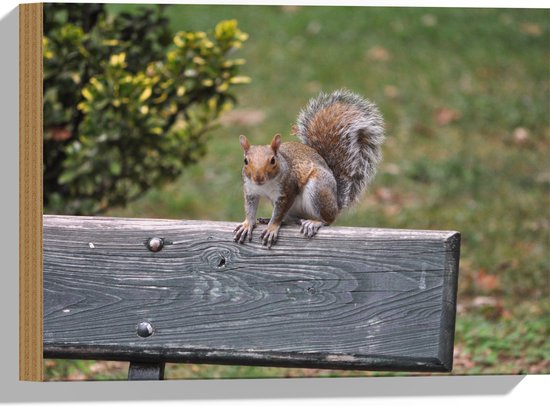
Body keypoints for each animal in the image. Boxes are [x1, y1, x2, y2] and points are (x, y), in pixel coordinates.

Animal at [235, 89, 386, 247]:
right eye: (245, 161)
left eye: (272, 160)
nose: (258, 177)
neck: (265, 185)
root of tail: (336, 204)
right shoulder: (251, 190)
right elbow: (250, 209)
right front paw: (247, 224)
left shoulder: (288, 190)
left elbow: (279, 213)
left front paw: (272, 227)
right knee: (290, 219)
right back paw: (271, 219)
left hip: (318, 188)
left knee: (327, 219)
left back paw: (314, 222)